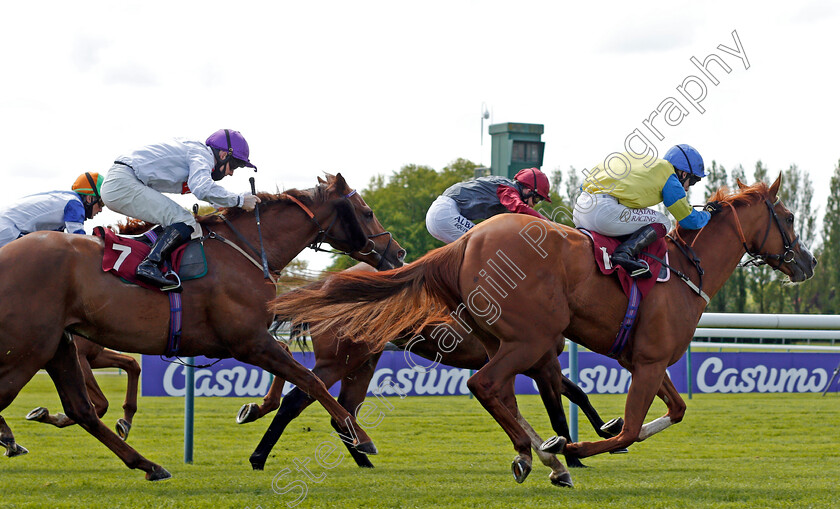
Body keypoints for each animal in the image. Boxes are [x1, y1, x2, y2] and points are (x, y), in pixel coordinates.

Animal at [236, 266, 624, 480]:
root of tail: (321, 288)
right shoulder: (540, 360)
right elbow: (560, 408)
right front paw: (573, 454)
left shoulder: (534, 360)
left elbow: (577, 393)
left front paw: (604, 432)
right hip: (339, 359)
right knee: (299, 397)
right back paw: (259, 456)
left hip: (365, 357)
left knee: (341, 409)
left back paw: (363, 458)